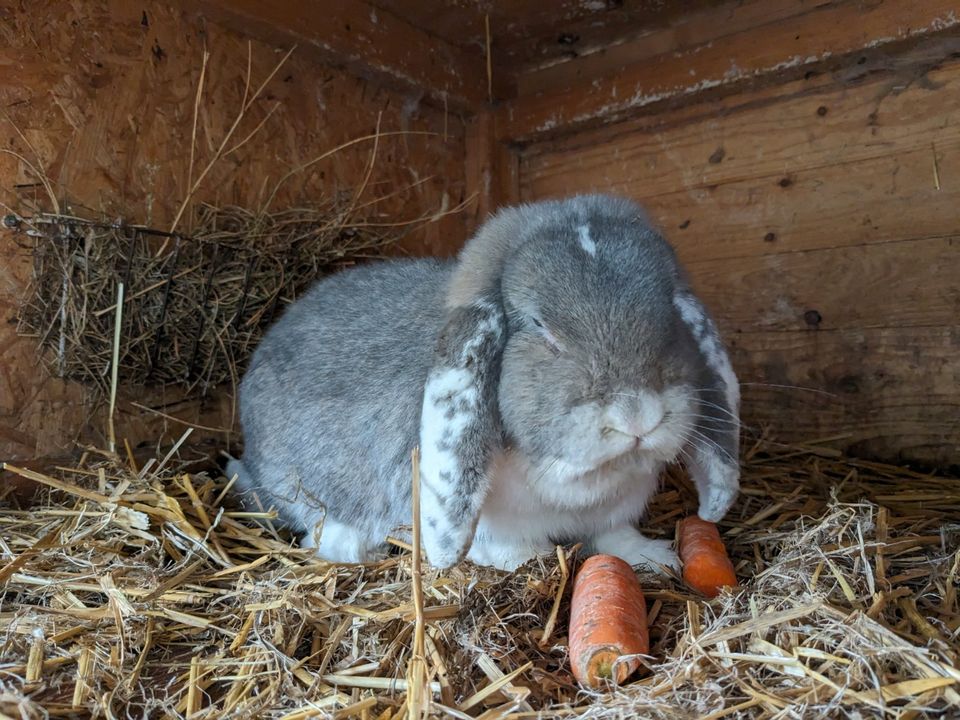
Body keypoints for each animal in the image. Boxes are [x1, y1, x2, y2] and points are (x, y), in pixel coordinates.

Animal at [227, 194, 744, 572]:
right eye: (540, 327)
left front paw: (658, 559)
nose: (637, 415)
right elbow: (510, 550)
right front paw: (539, 562)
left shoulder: (613, 513)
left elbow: (615, 537)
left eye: (670, 312)